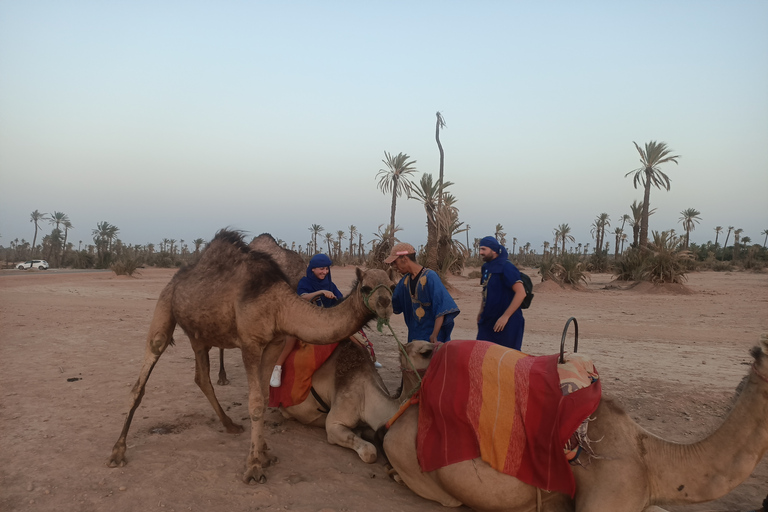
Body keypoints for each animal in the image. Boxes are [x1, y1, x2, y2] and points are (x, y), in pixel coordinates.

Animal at [106, 229, 396, 484]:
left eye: (393, 286)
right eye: (366, 287)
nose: (385, 304)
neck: (279, 304)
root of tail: (177, 277)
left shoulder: (274, 343)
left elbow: (266, 397)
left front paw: (264, 453)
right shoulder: (250, 344)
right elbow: (255, 402)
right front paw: (254, 468)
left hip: (200, 336)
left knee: (201, 377)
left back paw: (230, 425)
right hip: (165, 305)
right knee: (144, 372)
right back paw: (117, 452)